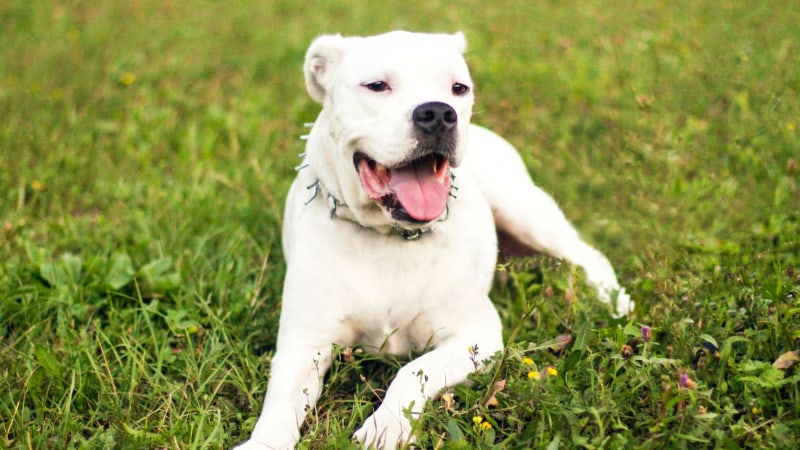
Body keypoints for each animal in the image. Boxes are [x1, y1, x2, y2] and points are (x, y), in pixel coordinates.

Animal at [238, 29, 632, 448]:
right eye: (377, 85)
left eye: (459, 88)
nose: (440, 113)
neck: (387, 237)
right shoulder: (303, 345)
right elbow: (280, 406)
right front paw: (263, 441)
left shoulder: (476, 336)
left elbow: (411, 371)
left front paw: (387, 424)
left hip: (523, 209)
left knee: (586, 254)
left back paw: (613, 301)